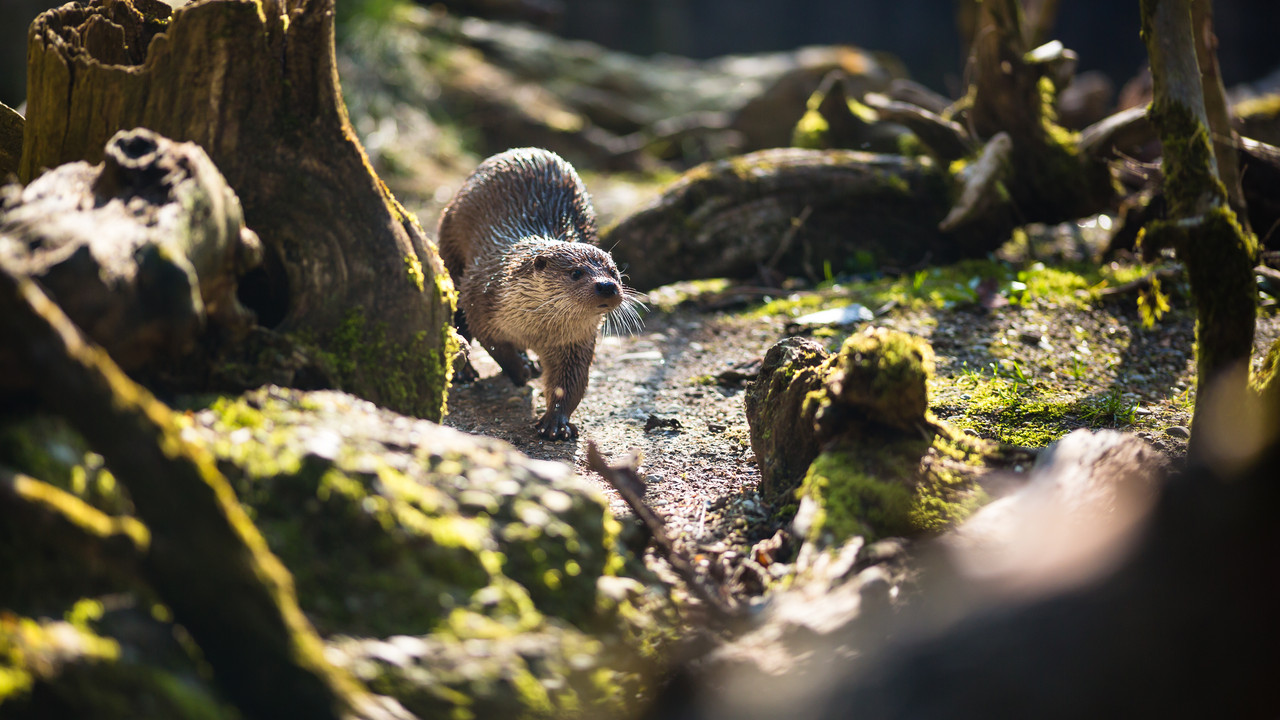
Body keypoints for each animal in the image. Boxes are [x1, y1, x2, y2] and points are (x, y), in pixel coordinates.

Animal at [437, 146, 640, 438]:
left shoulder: (575, 341)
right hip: (450, 244)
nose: (607, 286)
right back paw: (468, 372)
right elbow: (495, 344)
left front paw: (556, 422)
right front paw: (519, 371)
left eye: (614, 272)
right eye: (576, 272)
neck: (534, 331)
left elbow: (570, 381)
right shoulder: (481, 299)